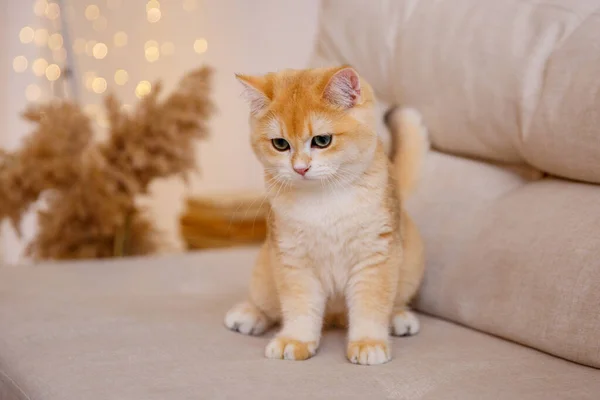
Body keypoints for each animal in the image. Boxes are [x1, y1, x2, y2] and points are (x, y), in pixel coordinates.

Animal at [224, 65, 426, 366]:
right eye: (280, 144)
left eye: (322, 140)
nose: (300, 168)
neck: (324, 199)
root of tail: (335, 318)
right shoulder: (292, 259)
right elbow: (299, 306)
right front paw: (295, 340)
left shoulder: (375, 257)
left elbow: (371, 304)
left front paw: (368, 343)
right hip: (264, 272)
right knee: (266, 304)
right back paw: (249, 314)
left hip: (410, 264)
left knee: (395, 300)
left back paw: (399, 318)